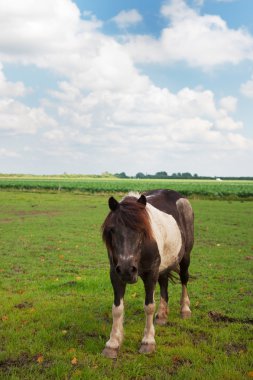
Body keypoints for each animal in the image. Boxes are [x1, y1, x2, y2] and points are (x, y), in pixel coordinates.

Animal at [101, 190, 194, 360]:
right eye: (112, 230)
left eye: (142, 230)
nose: (127, 269)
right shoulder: (115, 274)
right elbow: (117, 308)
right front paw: (113, 343)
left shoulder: (151, 273)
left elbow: (149, 306)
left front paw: (148, 342)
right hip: (163, 266)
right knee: (164, 285)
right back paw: (162, 315)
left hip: (185, 257)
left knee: (184, 279)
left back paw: (185, 310)